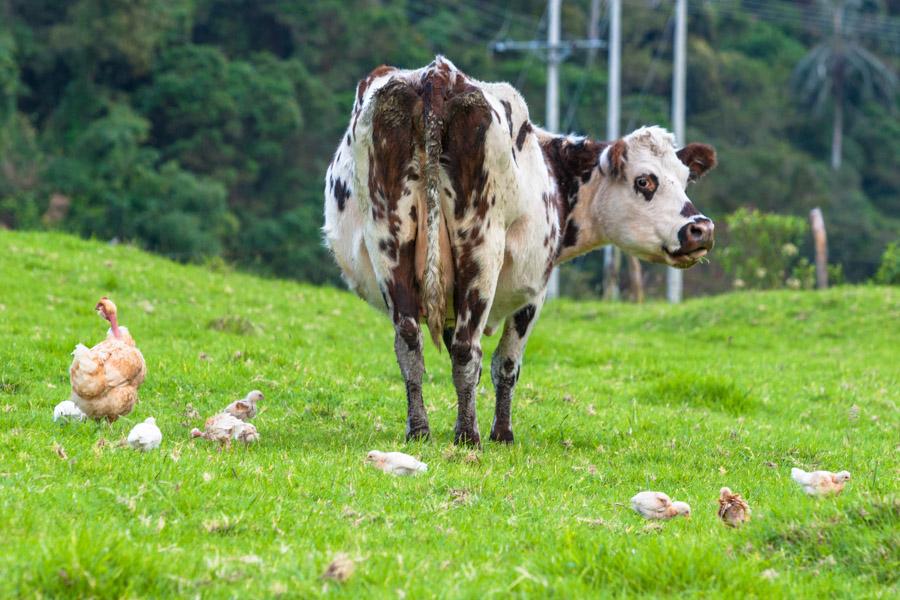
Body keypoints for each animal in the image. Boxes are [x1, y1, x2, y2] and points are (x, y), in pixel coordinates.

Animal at [324, 57, 716, 446]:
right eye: (644, 181)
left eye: (685, 179)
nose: (700, 228)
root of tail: (438, 74)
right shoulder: (533, 293)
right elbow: (506, 364)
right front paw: (502, 433)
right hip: (481, 246)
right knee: (467, 349)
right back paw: (469, 436)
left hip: (390, 241)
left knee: (410, 343)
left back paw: (420, 430)